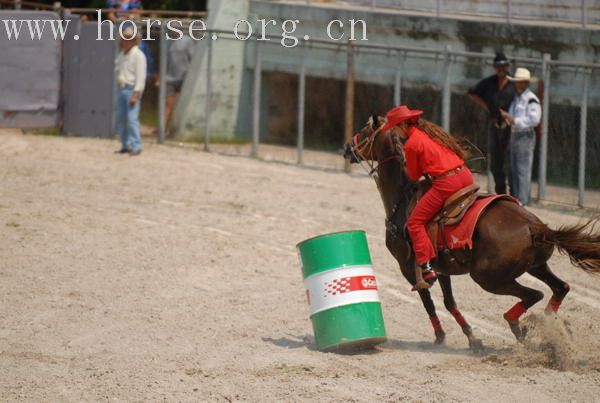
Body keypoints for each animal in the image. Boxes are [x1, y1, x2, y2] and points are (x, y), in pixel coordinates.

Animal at [344, 114, 600, 350]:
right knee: (560, 288)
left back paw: (518, 326)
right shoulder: (440, 268)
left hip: (488, 277)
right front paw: (472, 338)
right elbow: (449, 302)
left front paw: (441, 336)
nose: (348, 147)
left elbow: (428, 302)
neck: (403, 196)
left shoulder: (407, 267)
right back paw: (550, 331)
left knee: (534, 295)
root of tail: (533, 226)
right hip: (536, 266)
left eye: (365, 129)